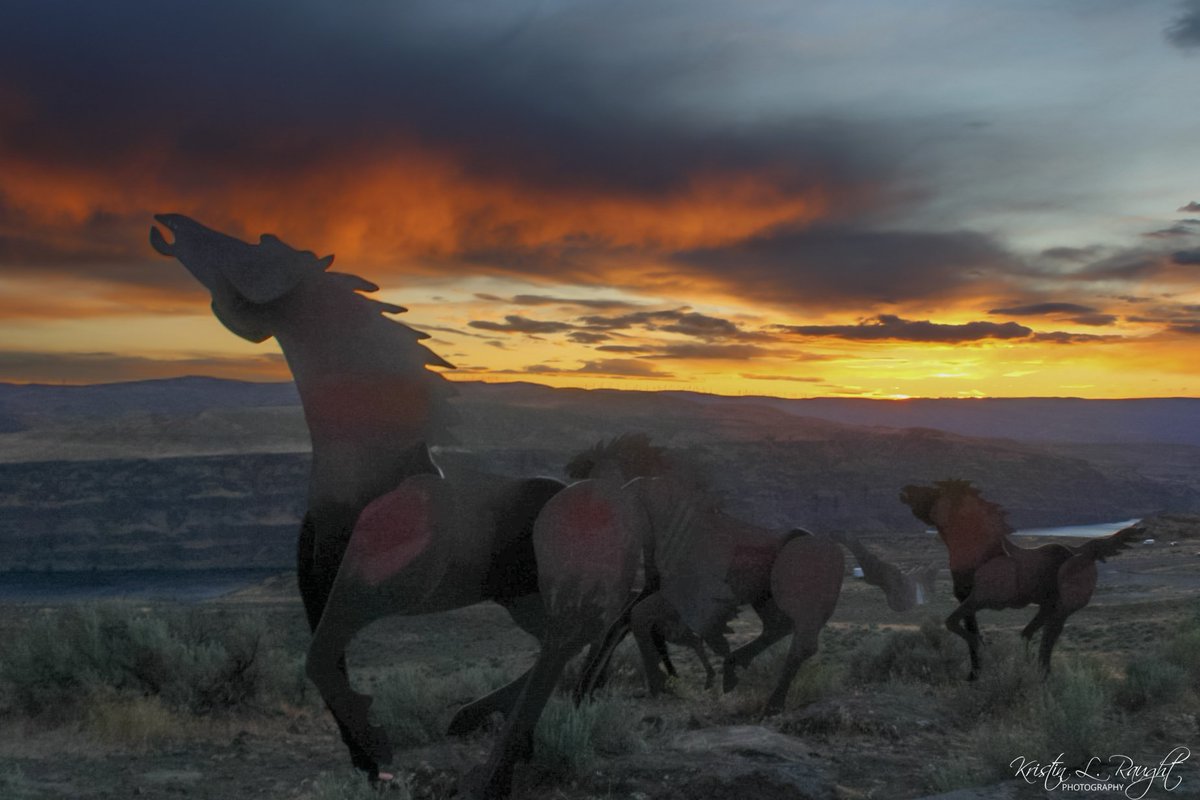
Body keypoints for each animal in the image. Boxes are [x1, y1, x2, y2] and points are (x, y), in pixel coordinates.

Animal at [150, 215, 644, 799]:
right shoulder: (323, 593)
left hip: (566, 584)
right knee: (573, 641)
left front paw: (379, 750)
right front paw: (366, 759)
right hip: (520, 598)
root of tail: (623, 493)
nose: (170, 224)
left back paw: (494, 769)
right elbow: (327, 665)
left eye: (253, 247)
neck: (368, 470)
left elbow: (318, 662)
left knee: (571, 641)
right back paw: (480, 722)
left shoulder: (370, 593)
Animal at [570, 435, 932, 714]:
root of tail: (830, 541)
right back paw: (734, 670)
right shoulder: (654, 591)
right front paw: (585, 689)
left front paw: (657, 684)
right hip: (766, 600)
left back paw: (771, 704)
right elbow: (623, 622)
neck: (677, 522)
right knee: (778, 629)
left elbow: (638, 619)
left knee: (802, 644)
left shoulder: (682, 599)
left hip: (802, 605)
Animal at [900, 479, 1144, 680]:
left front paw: (986, 649)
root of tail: (1083, 551)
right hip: (1047, 605)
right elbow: (966, 631)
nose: (906, 490)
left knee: (1049, 635)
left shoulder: (980, 599)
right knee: (1028, 634)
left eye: (936, 491)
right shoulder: (966, 603)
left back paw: (1043, 674)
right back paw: (1031, 669)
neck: (982, 554)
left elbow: (953, 624)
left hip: (1063, 608)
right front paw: (974, 674)